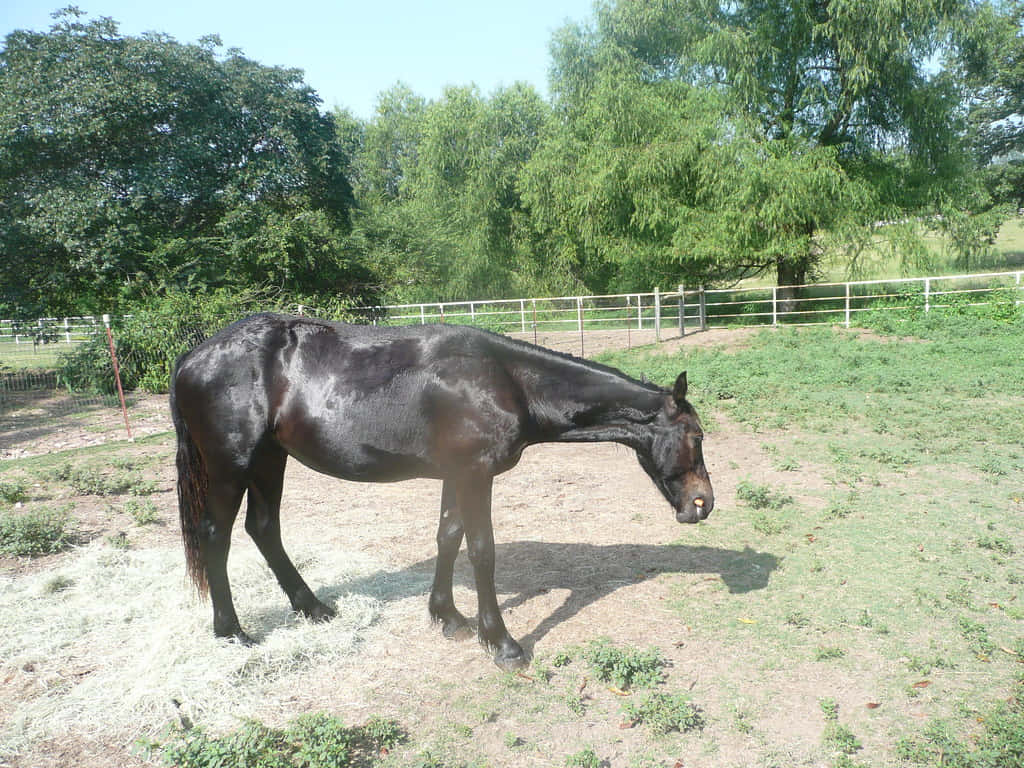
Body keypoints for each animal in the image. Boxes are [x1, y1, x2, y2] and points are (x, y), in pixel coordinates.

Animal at [169, 312, 714, 669]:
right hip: (232, 465)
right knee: (216, 535)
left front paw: (448, 616)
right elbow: (481, 549)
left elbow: (448, 537)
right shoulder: (475, 475)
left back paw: (314, 608)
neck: (505, 380)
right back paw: (232, 632)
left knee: (264, 529)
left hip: (269, 460)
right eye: (696, 436)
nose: (702, 504)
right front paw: (501, 643)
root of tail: (193, 356)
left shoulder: (457, 475)